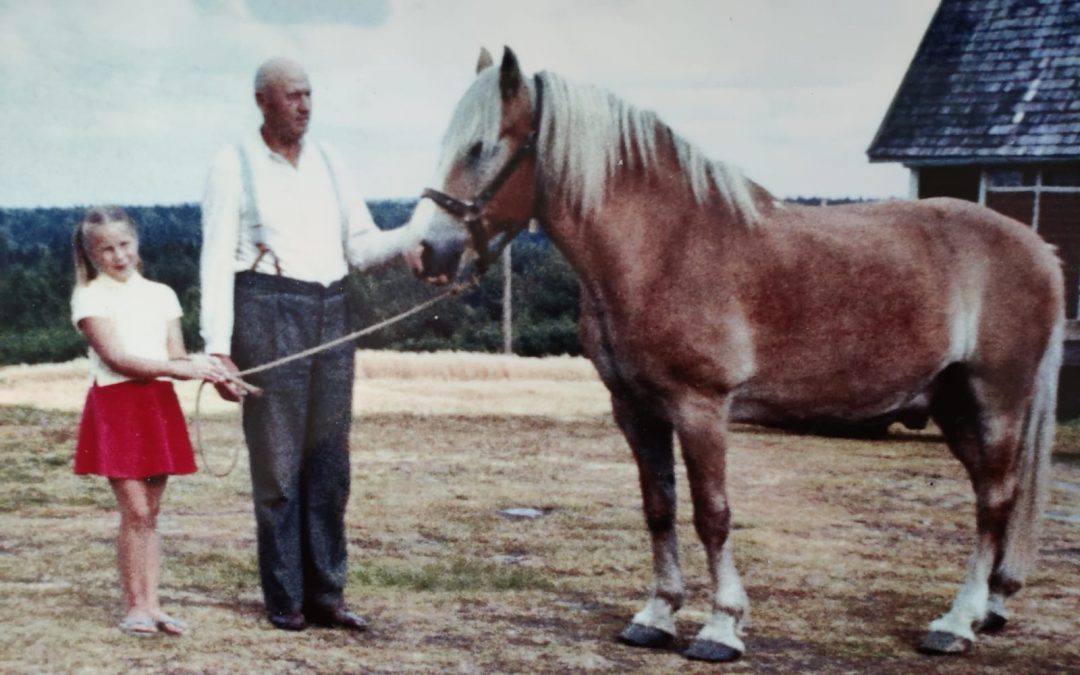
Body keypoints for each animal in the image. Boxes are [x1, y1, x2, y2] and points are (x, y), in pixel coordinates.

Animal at [406, 48, 1062, 665]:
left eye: (481, 147)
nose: (425, 252)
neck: (664, 247)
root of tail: (1040, 248)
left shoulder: (701, 407)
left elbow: (711, 513)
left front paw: (721, 628)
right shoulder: (636, 410)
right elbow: (659, 507)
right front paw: (656, 615)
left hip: (997, 400)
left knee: (993, 500)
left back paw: (955, 624)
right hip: (953, 404)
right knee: (995, 496)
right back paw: (990, 608)